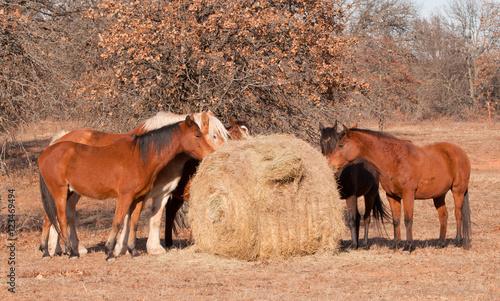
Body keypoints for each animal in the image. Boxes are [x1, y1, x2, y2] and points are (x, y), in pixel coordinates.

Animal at [38, 115, 215, 258]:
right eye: (197, 135)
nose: (211, 153)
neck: (141, 157)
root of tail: (47, 151)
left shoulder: (139, 198)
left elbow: (133, 223)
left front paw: (133, 250)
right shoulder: (124, 196)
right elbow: (117, 222)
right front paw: (110, 251)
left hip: (64, 193)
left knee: (48, 218)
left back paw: (46, 251)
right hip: (60, 192)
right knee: (61, 219)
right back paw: (71, 252)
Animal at [328, 125, 472, 250]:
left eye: (341, 145)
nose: (330, 164)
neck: (395, 159)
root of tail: (460, 152)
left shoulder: (408, 194)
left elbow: (408, 220)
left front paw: (408, 245)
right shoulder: (392, 196)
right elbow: (396, 220)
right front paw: (396, 244)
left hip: (458, 191)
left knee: (458, 214)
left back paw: (458, 241)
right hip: (439, 195)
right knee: (443, 216)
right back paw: (441, 243)